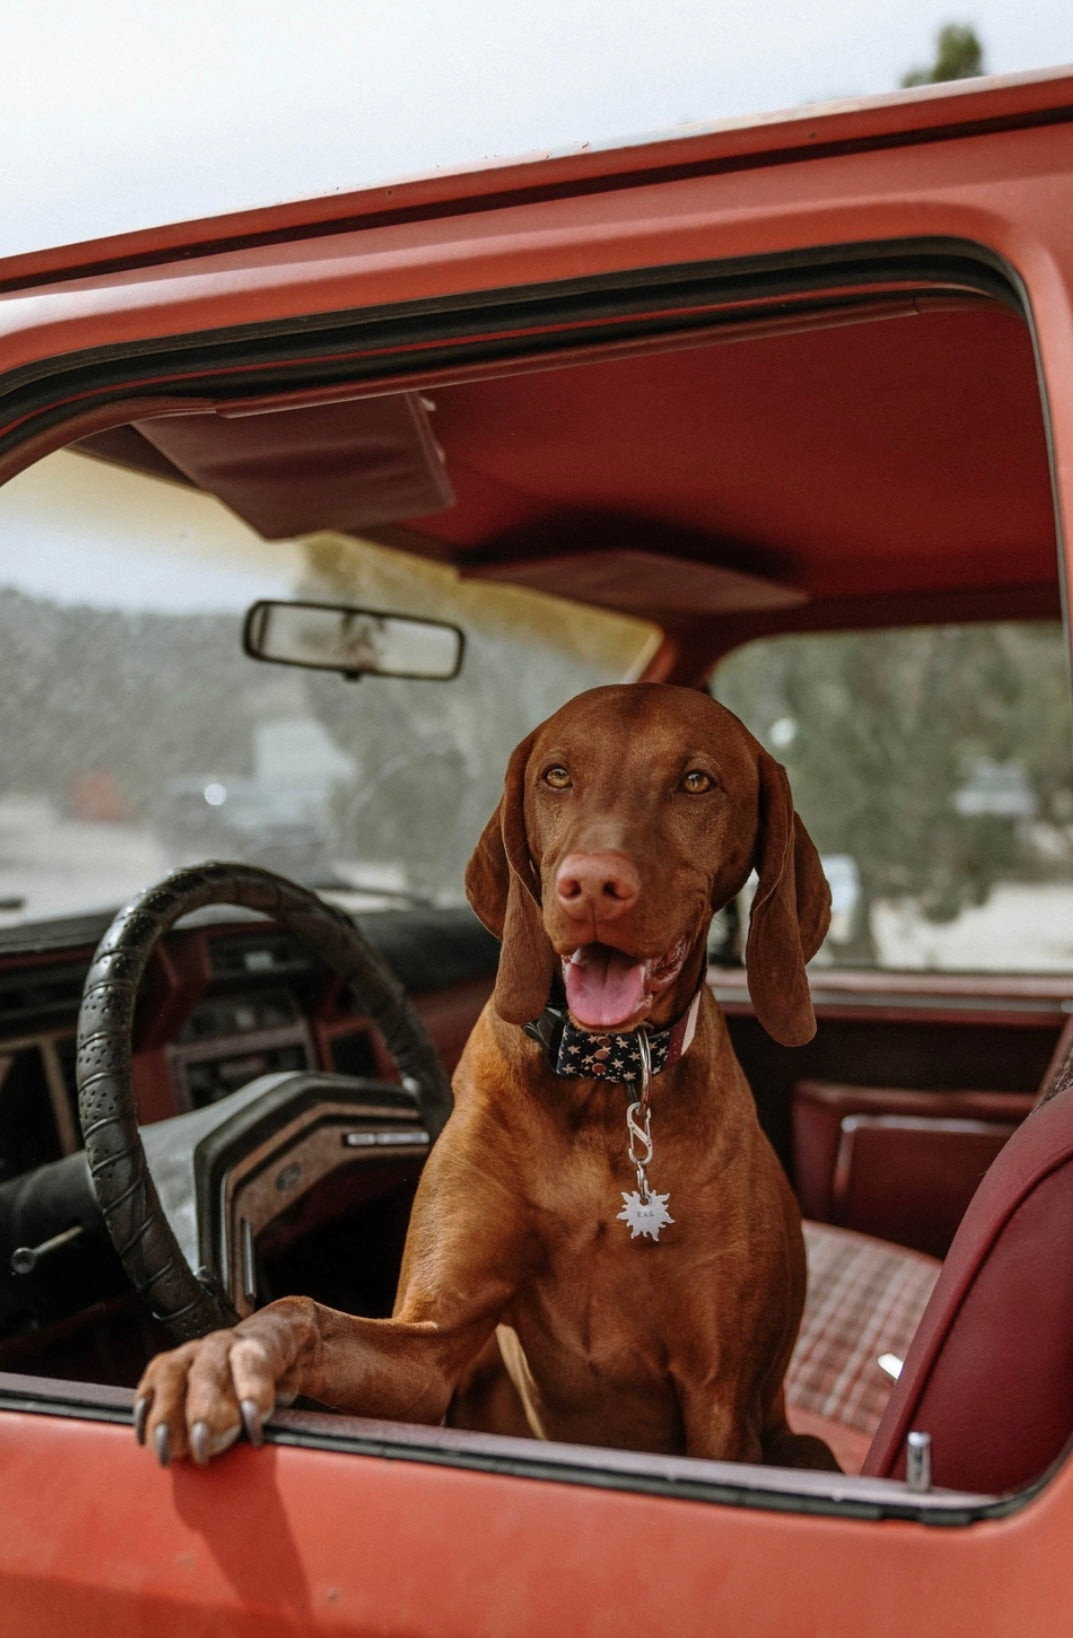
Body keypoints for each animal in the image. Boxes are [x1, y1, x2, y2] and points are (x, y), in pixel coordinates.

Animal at [134, 684, 835, 1467]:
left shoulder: (719, 1400)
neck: (601, 1081)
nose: (592, 885)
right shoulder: (429, 1351)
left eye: (696, 782)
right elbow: (300, 1310)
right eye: (557, 776)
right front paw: (220, 1356)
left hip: (806, 1445)